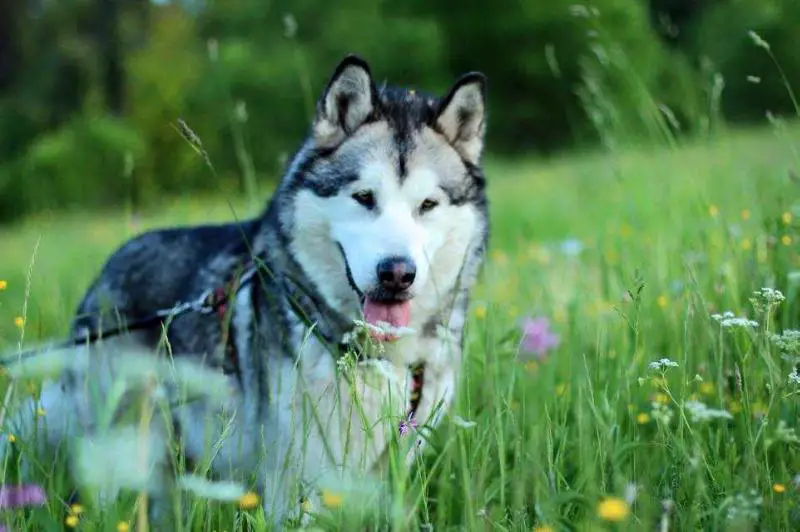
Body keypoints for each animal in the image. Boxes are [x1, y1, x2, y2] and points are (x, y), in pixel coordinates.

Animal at [1, 54, 489, 526]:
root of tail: (107, 268)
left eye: (427, 204)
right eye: (364, 197)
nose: (397, 273)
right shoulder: (296, 482)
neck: (378, 358)